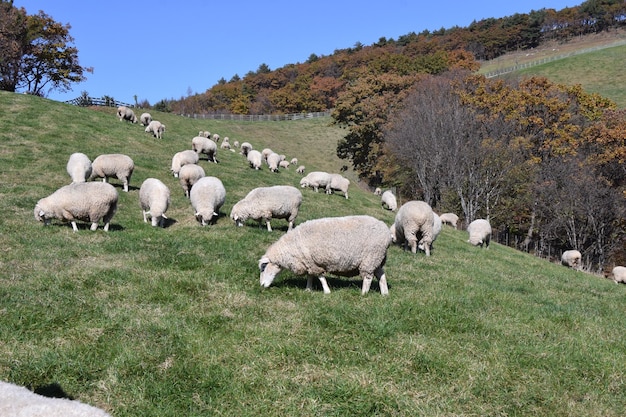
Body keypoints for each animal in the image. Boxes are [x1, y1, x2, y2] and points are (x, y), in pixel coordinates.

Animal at [256, 216, 388, 294]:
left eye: (263, 267)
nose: (261, 285)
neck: (292, 247)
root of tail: (385, 229)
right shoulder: (308, 262)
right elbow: (310, 276)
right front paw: (308, 289)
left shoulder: (314, 263)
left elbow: (320, 277)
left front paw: (326, 291)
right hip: (377, 259)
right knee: (381, 275)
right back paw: (384, 293)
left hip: (370, 258)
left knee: (368, 278)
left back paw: (363, 294)